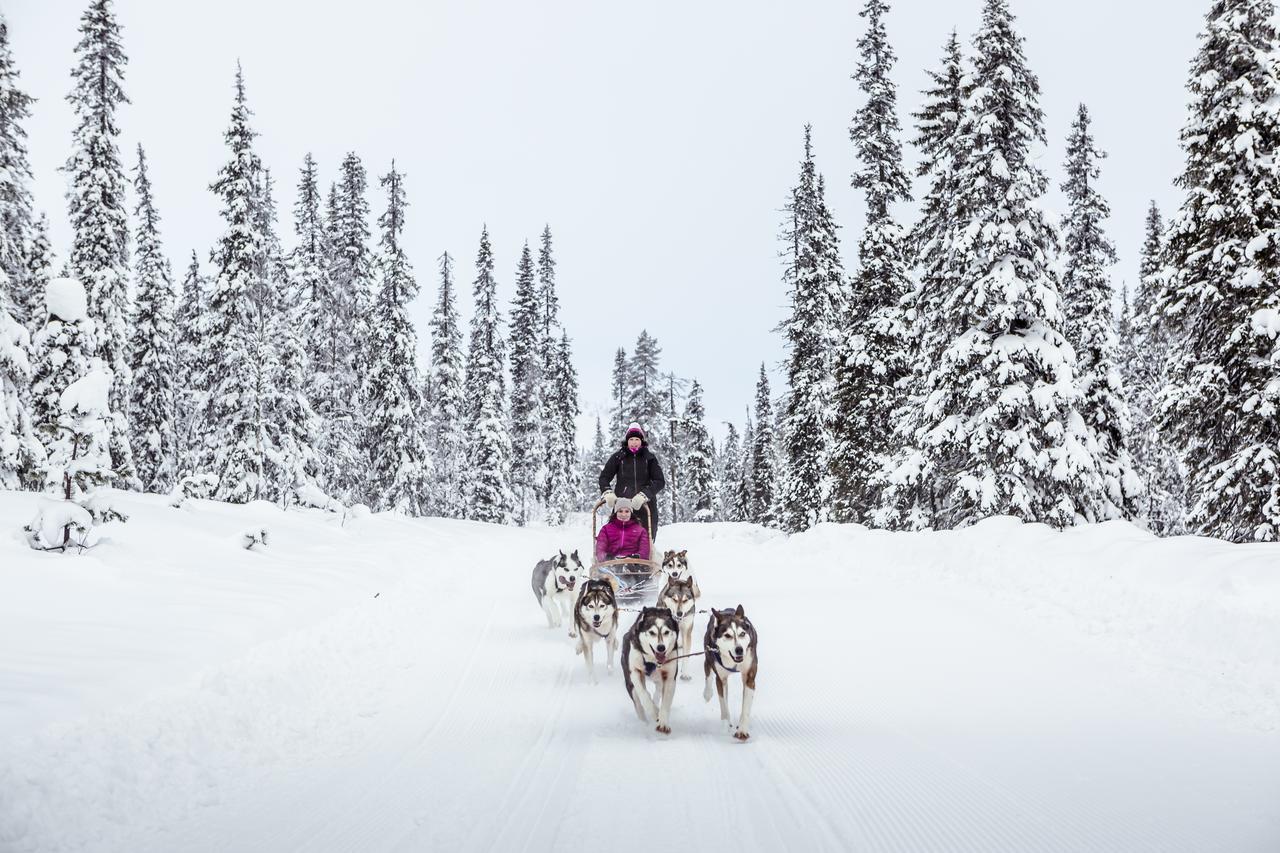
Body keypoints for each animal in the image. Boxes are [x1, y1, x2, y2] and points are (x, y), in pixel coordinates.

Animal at [619, 604, 680, 732]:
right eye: (651, 632)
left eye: (666, 632)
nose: (661, 647)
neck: (653, 661)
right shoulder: (635, 672)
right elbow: (644, 695)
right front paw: (653, 712)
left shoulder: (670, 677)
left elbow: (666, 702)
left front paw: (663, 722)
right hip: (630, 683)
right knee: (638, 702)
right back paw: (644, 722)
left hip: (659, 680)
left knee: (658, 691)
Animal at [706, 604, 752, 737]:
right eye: (727, 635)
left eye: (742, 634)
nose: (739, 649)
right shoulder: (720, 679)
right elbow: (723, 704)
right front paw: (726, 724)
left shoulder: (750, 675)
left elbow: (746, 706)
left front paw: (742, 729)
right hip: (708, 656)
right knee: (708, 671)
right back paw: (707, 693)